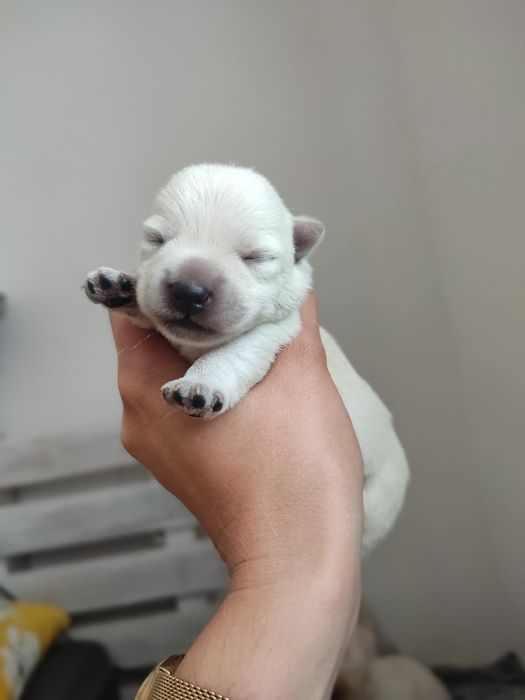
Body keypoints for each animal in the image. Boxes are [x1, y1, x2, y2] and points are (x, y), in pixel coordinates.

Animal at [84, 164, 408, 552]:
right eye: (156, 239)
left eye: (256, 257)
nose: (189, 290)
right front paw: (119, 285)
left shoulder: (273, 332)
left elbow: (232, 355)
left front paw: (199, 386)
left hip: (378, 501)